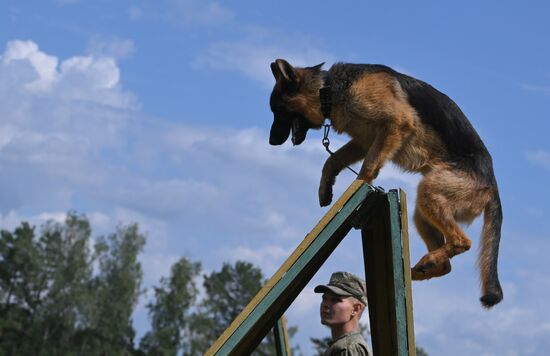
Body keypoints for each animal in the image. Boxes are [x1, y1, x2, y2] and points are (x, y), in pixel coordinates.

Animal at [268, 59, 504, 308]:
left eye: (277, 110)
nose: (271, 142)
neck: (328, 89)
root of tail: (493, 188)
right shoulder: (364, 141)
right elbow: (332, 160)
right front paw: (326, 188)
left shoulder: (396, 124)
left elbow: (368, 166)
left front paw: (359, 186)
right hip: (422, 212)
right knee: (446, 265)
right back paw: (418, 270)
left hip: (430, 192)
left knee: (462, 242)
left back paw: (428, 261)